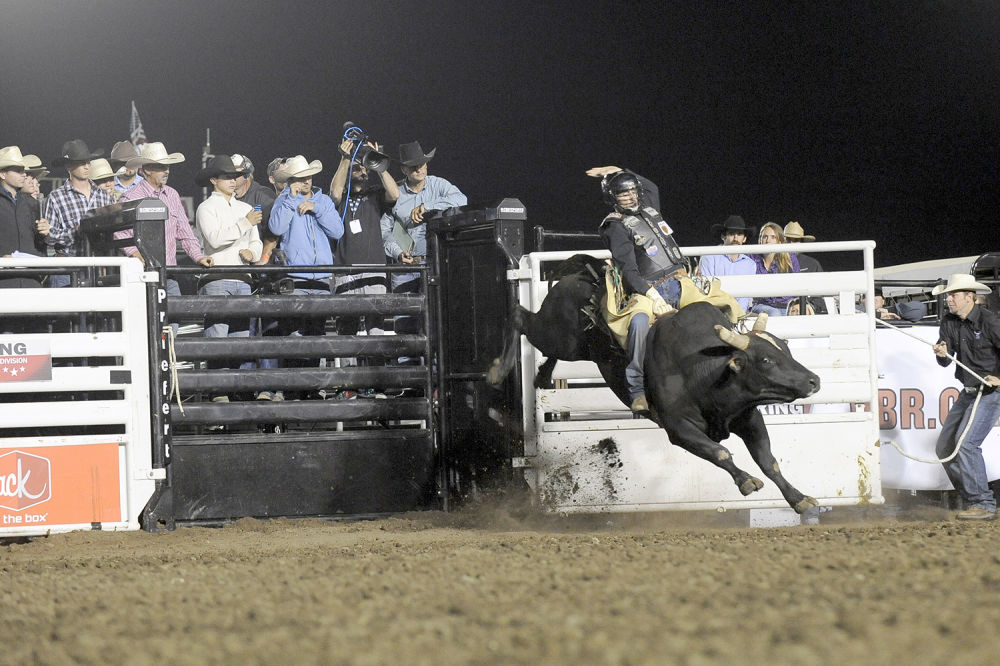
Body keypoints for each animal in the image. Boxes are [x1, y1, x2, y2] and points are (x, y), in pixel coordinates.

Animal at [644, 301, 821, 513]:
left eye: (787, 350)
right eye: (766, 360)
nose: (814, 381)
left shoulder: (749, 417)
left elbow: (768, 461)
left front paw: (798, 498)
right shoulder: (677, 427)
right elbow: (719, 452)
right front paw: (746, 480)